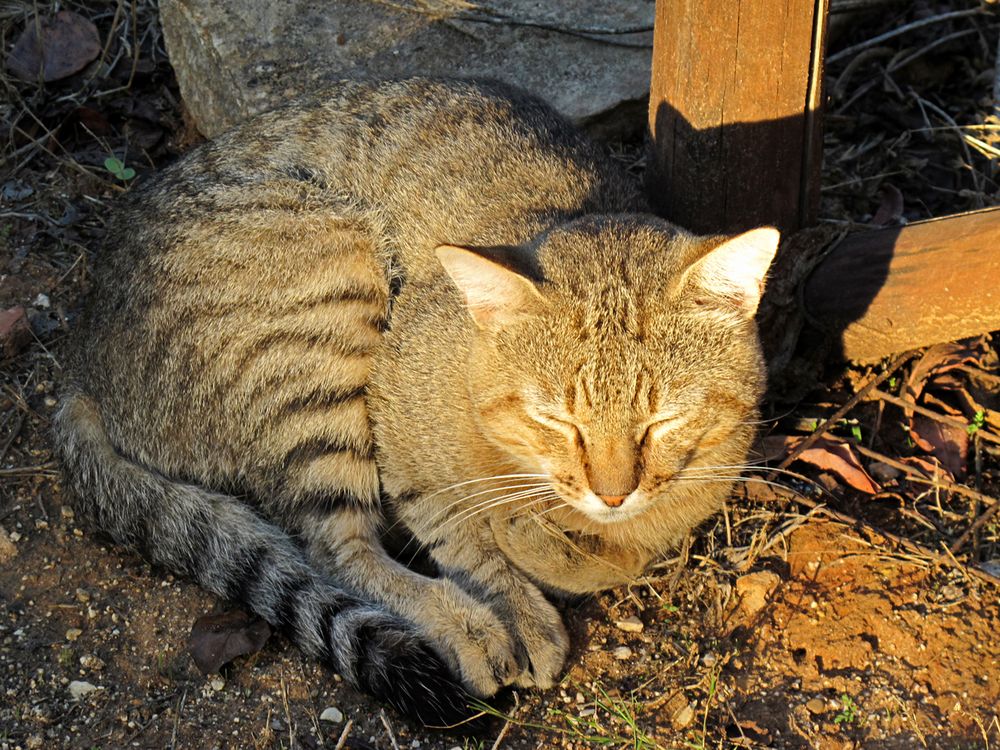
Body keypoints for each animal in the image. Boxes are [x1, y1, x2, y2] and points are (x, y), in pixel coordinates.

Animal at [52, 78, 780, 728]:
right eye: (556, 420)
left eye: (662, 421)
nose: (612, 492)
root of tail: (81, 354)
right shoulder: (399, 412)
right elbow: (457, 525)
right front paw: (514, 594)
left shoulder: (701, 482)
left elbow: (630, 553)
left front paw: (561, 548)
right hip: (323, 303)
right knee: (333, 547)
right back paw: (462, 621)